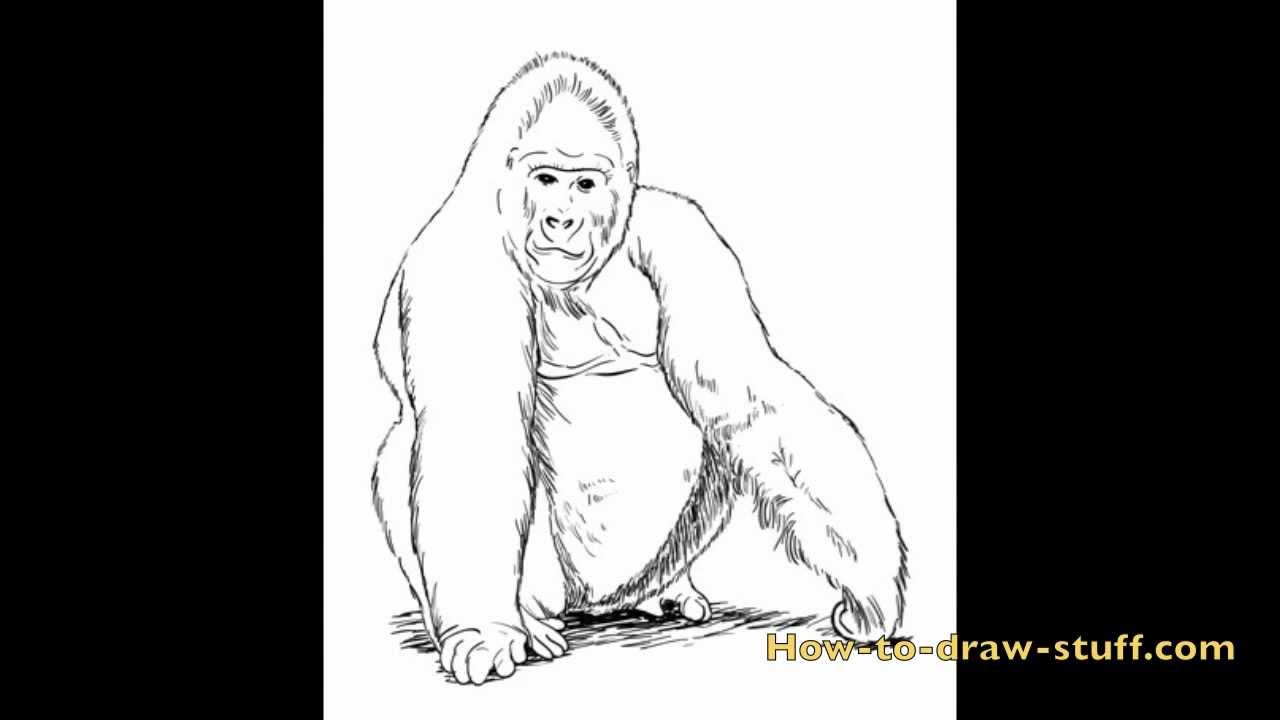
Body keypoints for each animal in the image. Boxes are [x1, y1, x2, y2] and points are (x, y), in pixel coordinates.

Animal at [372, 52, 908, 685]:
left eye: (584, 184)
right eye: (545, 180)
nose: (560, 221)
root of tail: (593, 606)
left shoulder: (687, 235)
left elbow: (752, 397)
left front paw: (871, 582)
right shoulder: (456, 265)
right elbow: (472, 441)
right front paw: (484, 631)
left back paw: (667, 592)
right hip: (554, 583)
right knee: (400, 448)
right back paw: (526, 619)